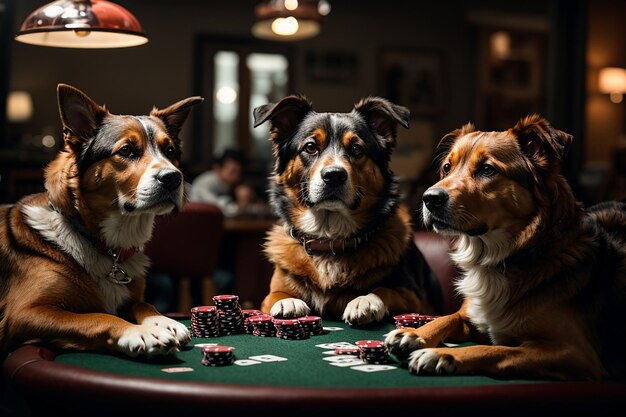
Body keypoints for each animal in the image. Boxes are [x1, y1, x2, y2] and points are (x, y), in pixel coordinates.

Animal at [0, 84, 202, 358]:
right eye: (126, 150)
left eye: (170, 151)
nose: (173, 178)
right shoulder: (23, 313)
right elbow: (96, 317)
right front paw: (140, 332)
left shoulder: (132, 298)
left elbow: (143, 303)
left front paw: (163, 321)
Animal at [251, 95, 436, 324]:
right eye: (310, 147)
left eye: (357, 149)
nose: (334, 175)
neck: (329, 239)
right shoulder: (271, 291)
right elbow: (275, 294)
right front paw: (287, 301)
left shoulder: (413, 297)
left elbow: (384, 289)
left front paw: (366, 300)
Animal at [382, 114, 624, 380]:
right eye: (447, 167)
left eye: (487, 169)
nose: (429, 198)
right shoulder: (471, 315)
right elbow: (446, 318)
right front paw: (414, 334)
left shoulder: (576, 355)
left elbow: (496, 350)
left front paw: (442, 354)